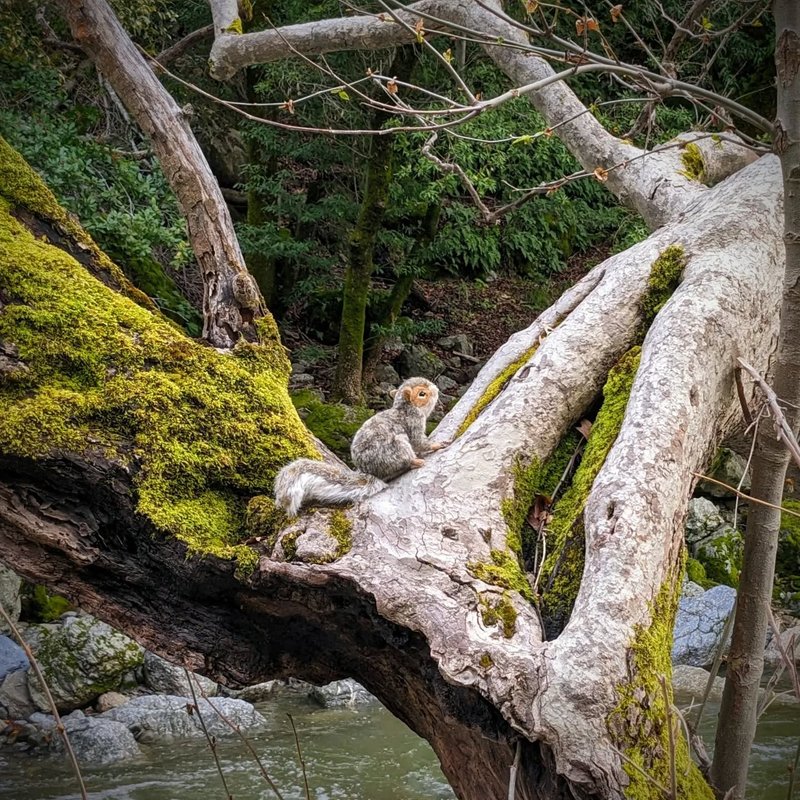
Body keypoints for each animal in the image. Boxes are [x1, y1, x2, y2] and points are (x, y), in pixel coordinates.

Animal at [274, 377, 446, 516]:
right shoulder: (414, 422)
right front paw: (439, 445)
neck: (407, 408)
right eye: (422, 394)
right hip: (398, 447)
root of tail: (371, 472)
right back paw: (415, 462)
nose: (437, 389)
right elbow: (419, 442)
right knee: (403, 462)